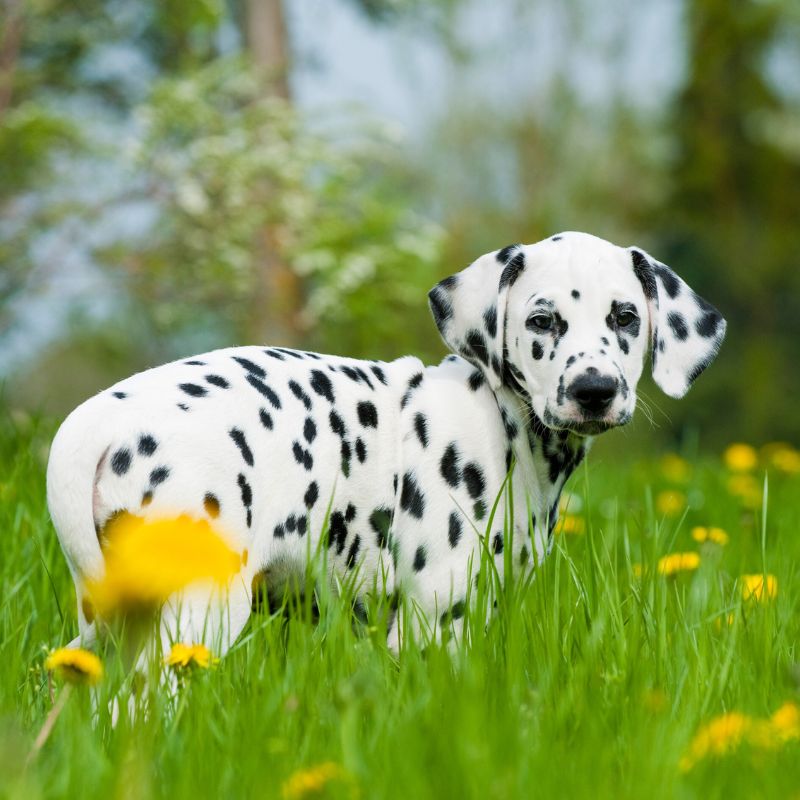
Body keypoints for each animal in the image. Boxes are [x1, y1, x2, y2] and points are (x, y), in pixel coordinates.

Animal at [48, 231, 724, 656]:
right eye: (541, 321)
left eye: (625, 317)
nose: (594, 390)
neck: (502, 421)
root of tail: (96, 420)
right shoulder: (434, 622)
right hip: (200, 610)